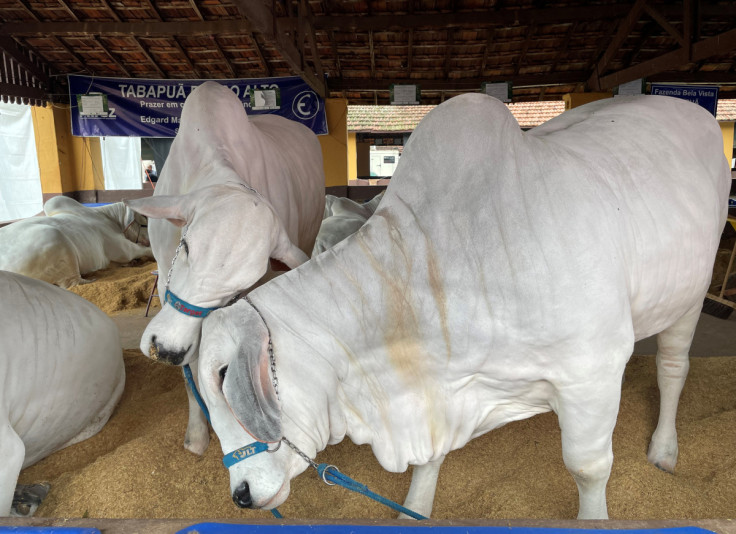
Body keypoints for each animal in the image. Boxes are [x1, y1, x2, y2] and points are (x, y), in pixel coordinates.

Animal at [0, 196, 151, 288]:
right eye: (144, 216)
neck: (110, 218)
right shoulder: (123, 248)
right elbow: (142, 250)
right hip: (55, 237)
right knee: (72, 282)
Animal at [125, 81, 324, 458]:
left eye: (236, 288)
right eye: (186, 247)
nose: (166, 350)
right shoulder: (165, 280)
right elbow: (190, 365)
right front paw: (196, 433)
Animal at [194, 94, 732, 520]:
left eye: (223, 378)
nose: (240, 495)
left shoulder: (591, 372)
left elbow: (588, 468)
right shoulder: (441, 384)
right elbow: (430, 460)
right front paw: (414, 509)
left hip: (690, 293)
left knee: (672, 369)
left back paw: (664, 449)